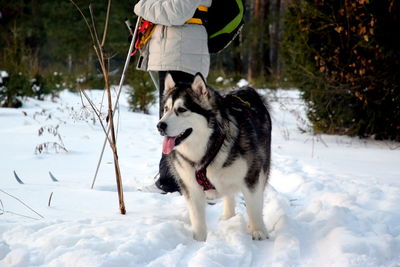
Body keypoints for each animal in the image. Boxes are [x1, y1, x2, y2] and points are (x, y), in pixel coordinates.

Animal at [156, 73, 272, 243]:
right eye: (165, 109)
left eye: (182, 109)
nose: (160, 126)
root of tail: (246, 89)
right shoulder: (190, 185)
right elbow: (197, 217)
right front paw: (198, 241)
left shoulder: (251, 176)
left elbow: (254, 206)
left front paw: (258, 230)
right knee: (229, 194)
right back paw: (228, 216)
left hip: (262, 166)